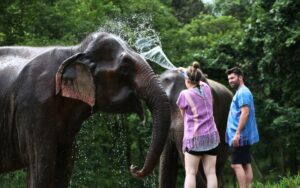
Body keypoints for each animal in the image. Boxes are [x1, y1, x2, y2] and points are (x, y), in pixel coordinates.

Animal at [0, 31, 170, 187]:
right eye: (125, 68)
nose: (134, 168)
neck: (74, 51)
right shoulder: (35, 105)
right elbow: (42, 166)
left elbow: (64, 167)